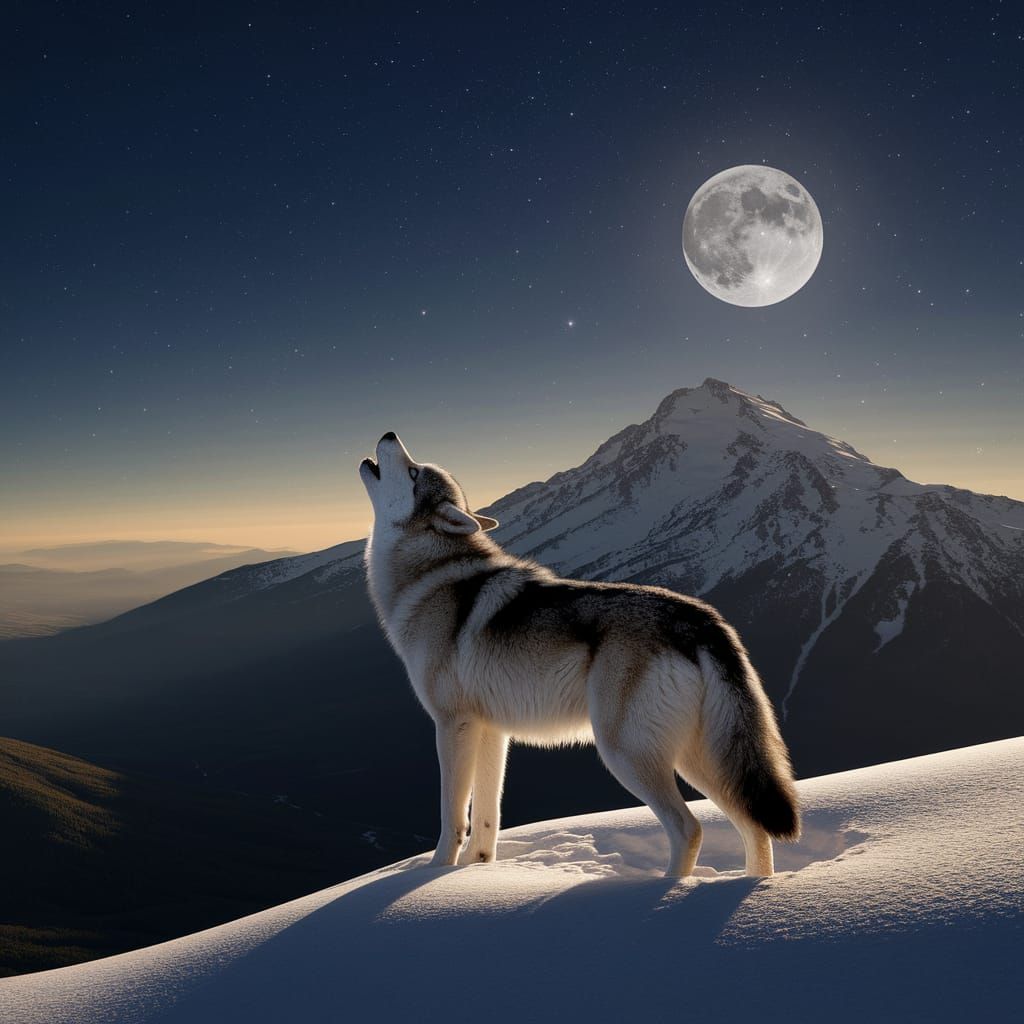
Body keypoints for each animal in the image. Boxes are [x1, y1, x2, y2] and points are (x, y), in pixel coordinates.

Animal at [360, 432, 800, 877]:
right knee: (754, 828)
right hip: (696, 759)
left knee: (689, 828)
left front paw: (436, 874)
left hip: (625, 753)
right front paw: (475, 869)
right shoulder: (492, 731)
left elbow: (452, 815)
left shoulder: (454, 724)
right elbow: (487, 819)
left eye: (414, 473)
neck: (428, 575)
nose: (390, 434)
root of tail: (701, 618)